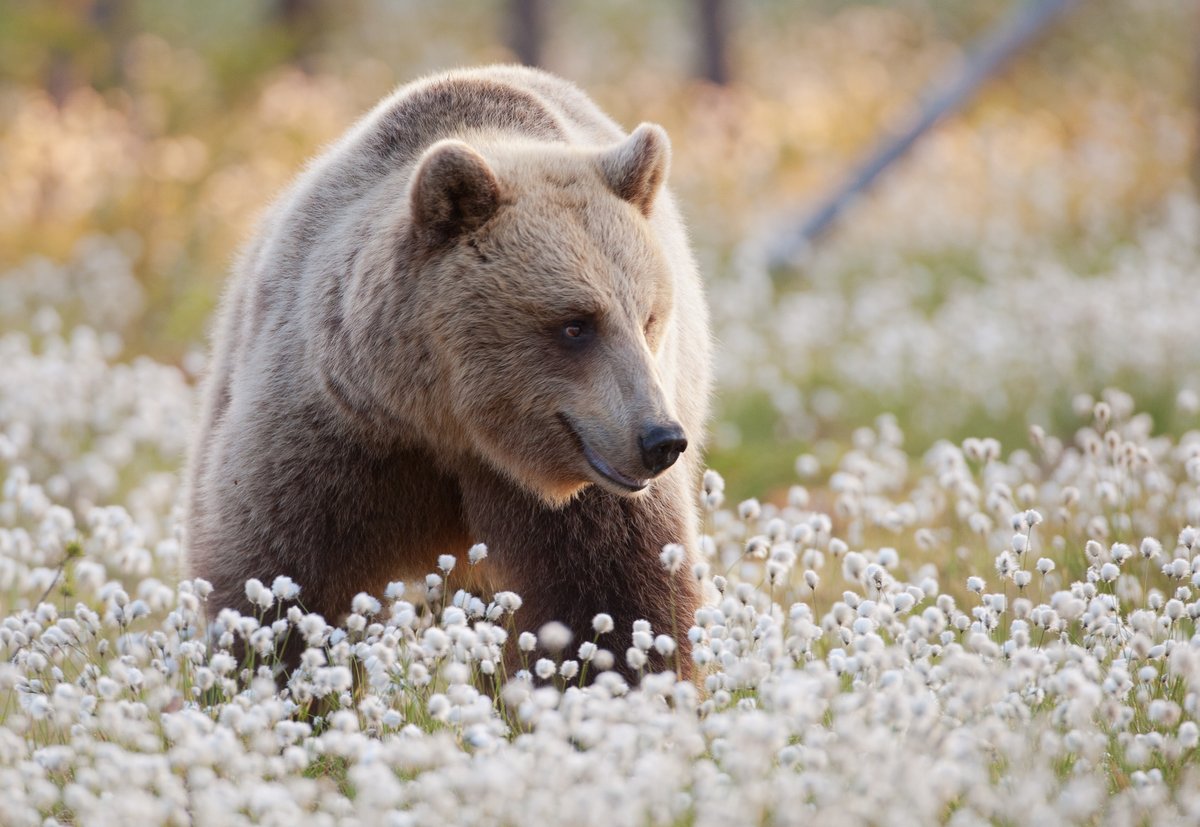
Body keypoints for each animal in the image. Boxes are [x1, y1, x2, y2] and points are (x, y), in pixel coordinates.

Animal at [186, 65, 712, 681]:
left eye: (650, 317)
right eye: (576, 324)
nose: (660, 439)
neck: (448, 422)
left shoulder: (586, 494)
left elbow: (617, 600)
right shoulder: (333, 435)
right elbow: (278, 577)